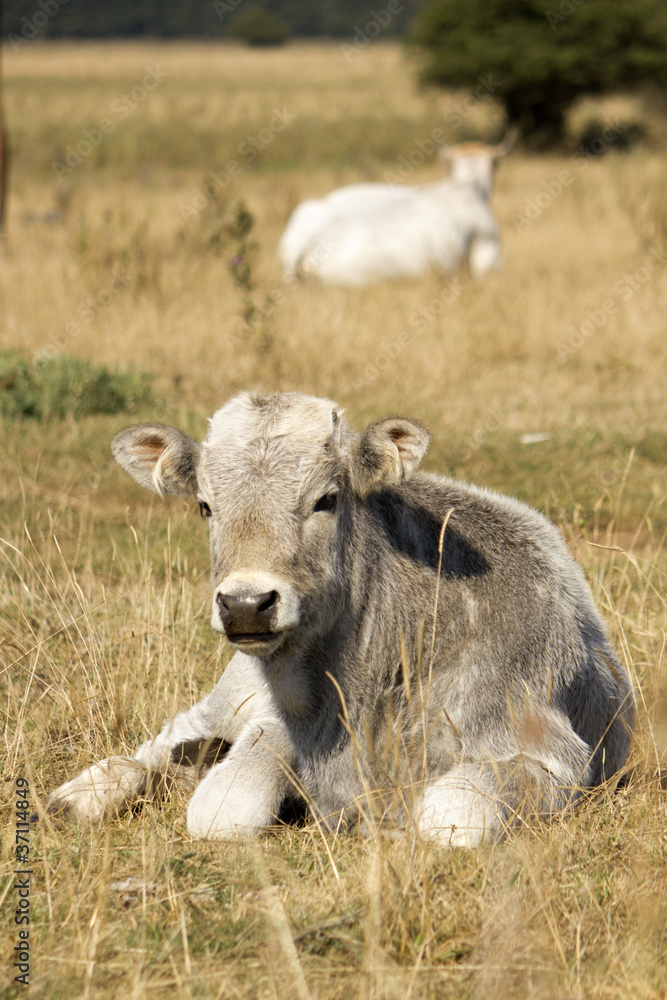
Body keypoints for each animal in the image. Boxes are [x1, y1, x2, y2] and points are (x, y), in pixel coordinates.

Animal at [39, 392, 633, 846]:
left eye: (325, 499)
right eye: (205, 506)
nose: (245, 604)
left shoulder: (552, 756)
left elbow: (451, 815)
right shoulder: (271, 720)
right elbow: (224, 808)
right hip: (230, 691)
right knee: (166, 738)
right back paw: (80, 795)